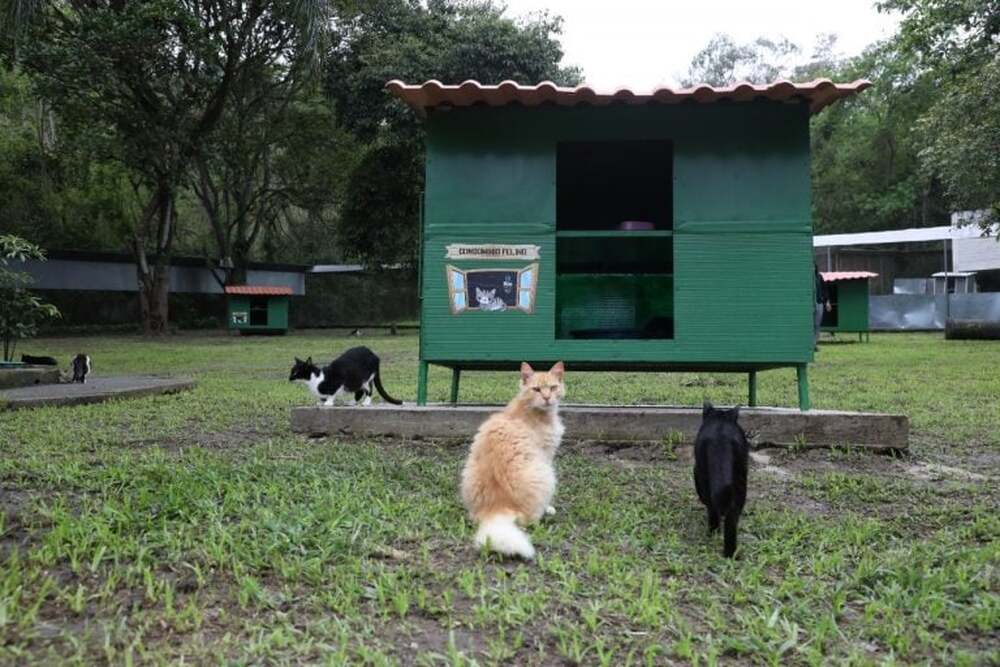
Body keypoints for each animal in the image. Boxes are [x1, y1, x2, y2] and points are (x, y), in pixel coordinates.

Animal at [458, 360, 564, 560]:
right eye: (537, 389)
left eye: (553, 388)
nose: (547, 398)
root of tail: (497, 507)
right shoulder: (546, 454)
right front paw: (549, 507)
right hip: (547, 474)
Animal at [696, 402, 752, 560]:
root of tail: (721, 438)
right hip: (740, 480)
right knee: (731, 517)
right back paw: (730, 553)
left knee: (713, 507)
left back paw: (714, 533)